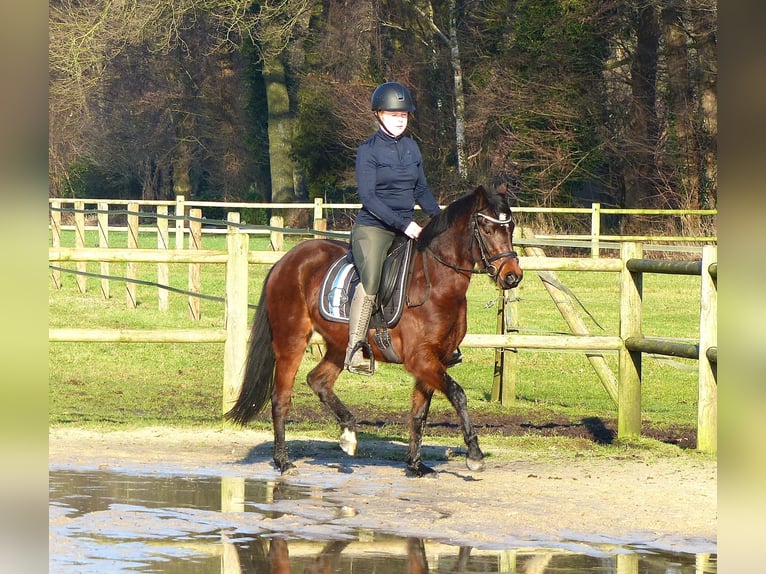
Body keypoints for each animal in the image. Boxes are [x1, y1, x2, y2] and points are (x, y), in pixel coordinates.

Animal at [226, 184, 528, 476]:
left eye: (510, 228)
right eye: (487, 228)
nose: (512, 276)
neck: (436, 284)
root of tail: (286, 261)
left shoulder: (435, 359)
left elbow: (420, 412)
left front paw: (416, 465)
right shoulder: (421, 359)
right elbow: (458, 394)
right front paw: (474, 455)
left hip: (340, 346)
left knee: (318, 380)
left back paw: (348, 433)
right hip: (292, 341)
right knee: (281, 398)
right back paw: (283, 461)